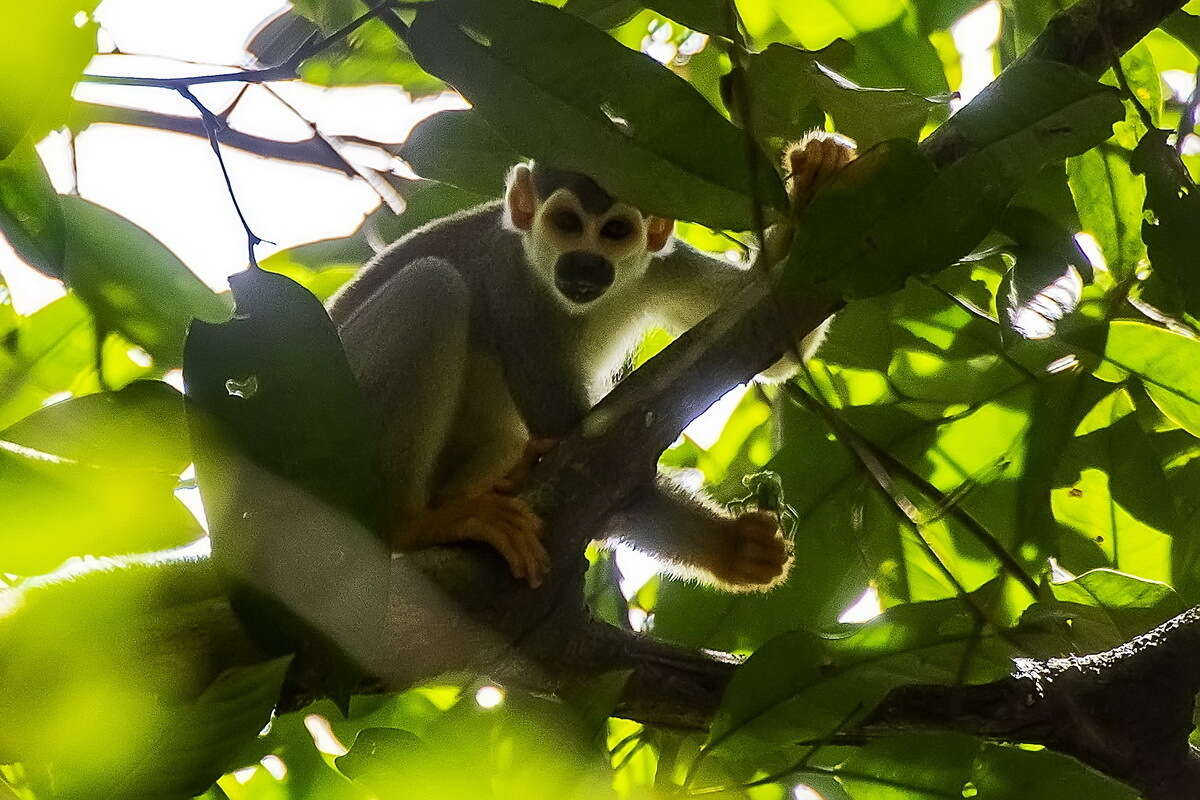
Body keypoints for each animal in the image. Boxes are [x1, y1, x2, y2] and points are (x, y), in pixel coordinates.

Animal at [328, 131, 854, 592]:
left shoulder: (663, 263)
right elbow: (578, 447)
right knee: (432, 285)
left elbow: (775, 337)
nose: (585, 264)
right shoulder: (511, 279)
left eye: (616, 231)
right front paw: (717, 543)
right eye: (566, 224)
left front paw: (815, 180)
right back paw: (410, 523)